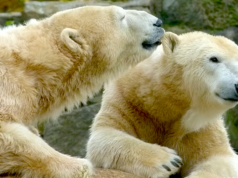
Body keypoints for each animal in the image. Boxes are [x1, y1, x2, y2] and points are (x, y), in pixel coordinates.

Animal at [87, 32, 238, 178]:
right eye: (214, 59)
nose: (237, 85)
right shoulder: (126, 100)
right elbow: (103, 137)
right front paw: (170, 161)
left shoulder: (200, 127)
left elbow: (219, 158)